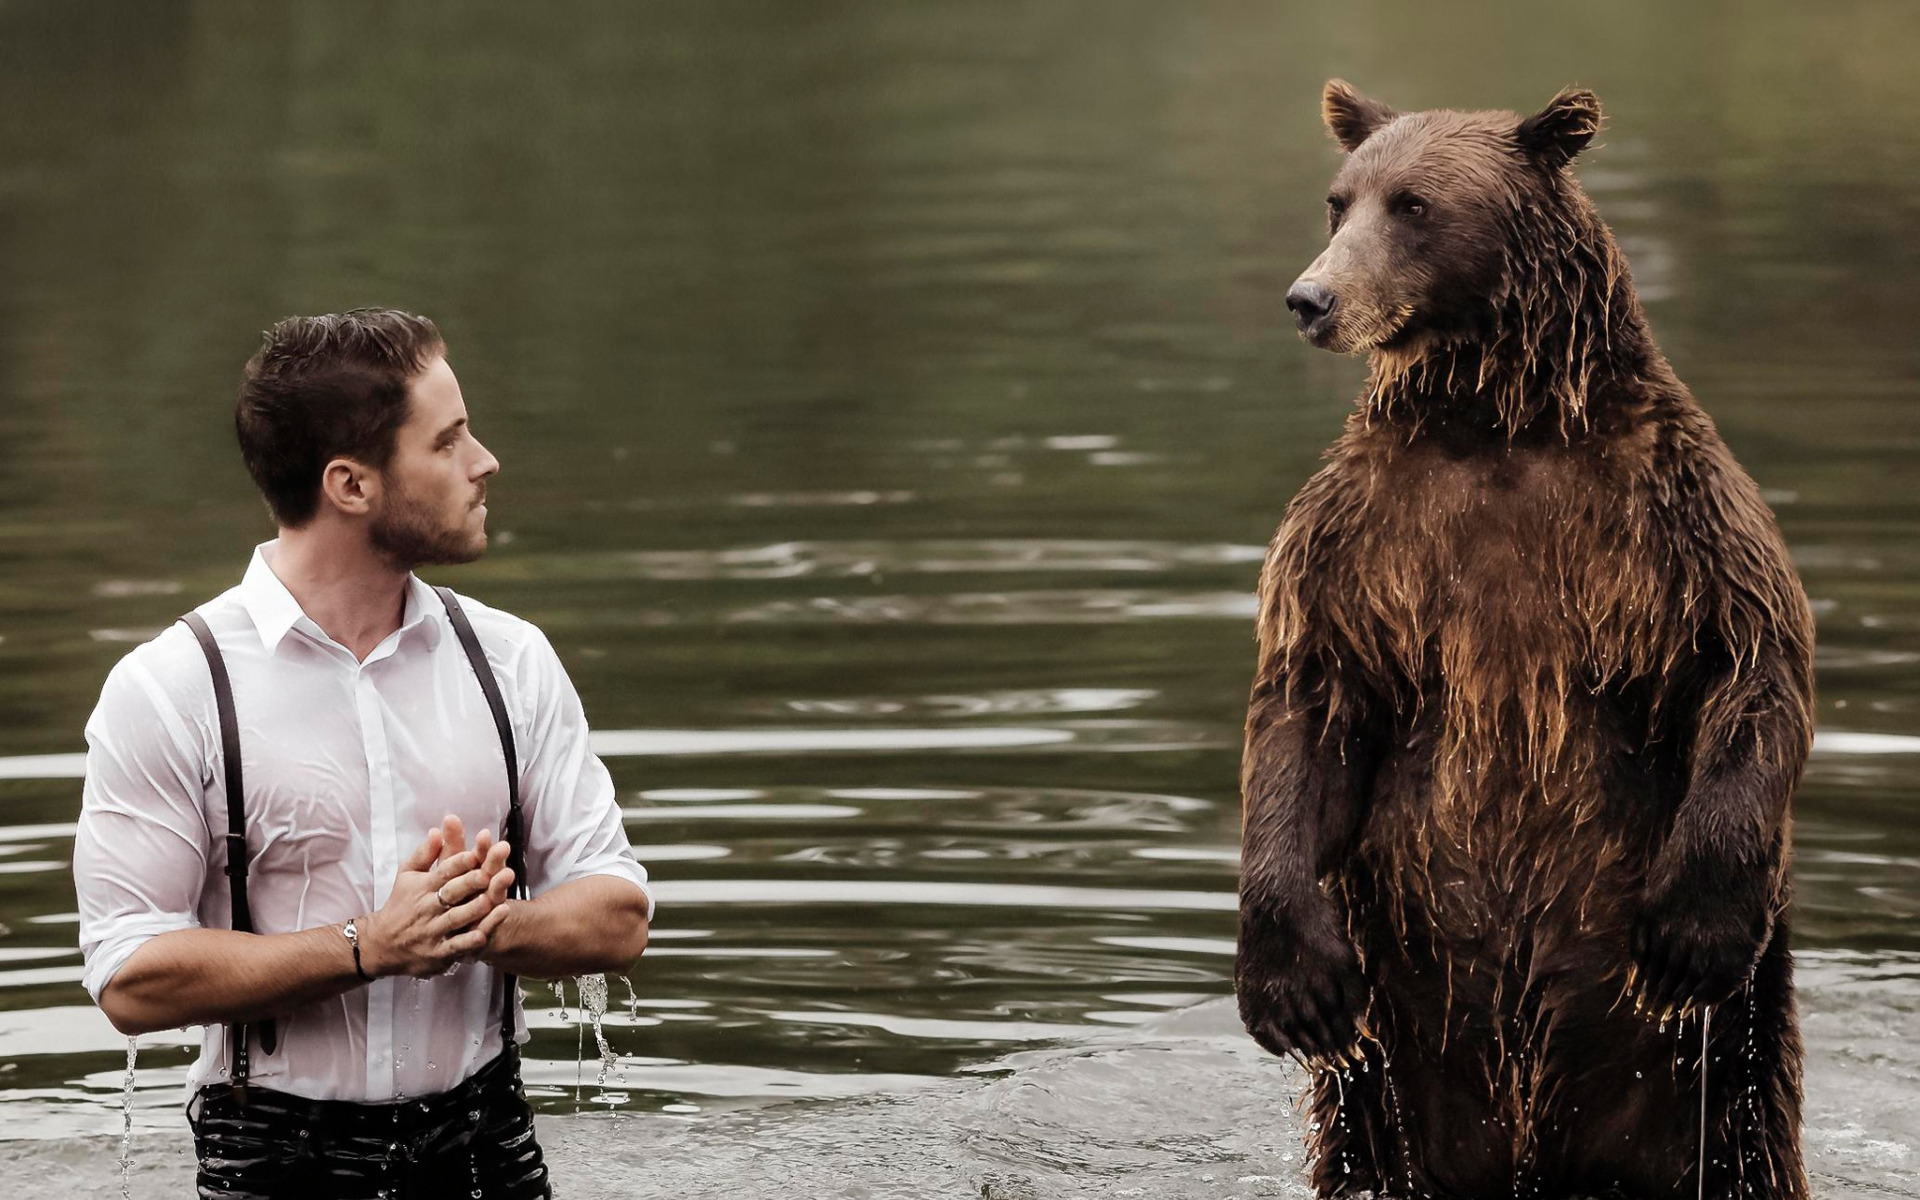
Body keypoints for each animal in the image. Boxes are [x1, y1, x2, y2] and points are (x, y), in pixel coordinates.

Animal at [1244, 84, 1812, 1198]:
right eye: (1340, 199)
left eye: (1414, 205)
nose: (1311, 299)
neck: (1499, 420)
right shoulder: (1357, 538)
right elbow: (1306, 701)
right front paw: (1291, 987)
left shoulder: (1674, 514)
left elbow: (1748, 662)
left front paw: (1690, 932)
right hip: (1399, 1042)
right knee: (1368, 1132)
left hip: (1725, 1057)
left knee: (1745, 1129)